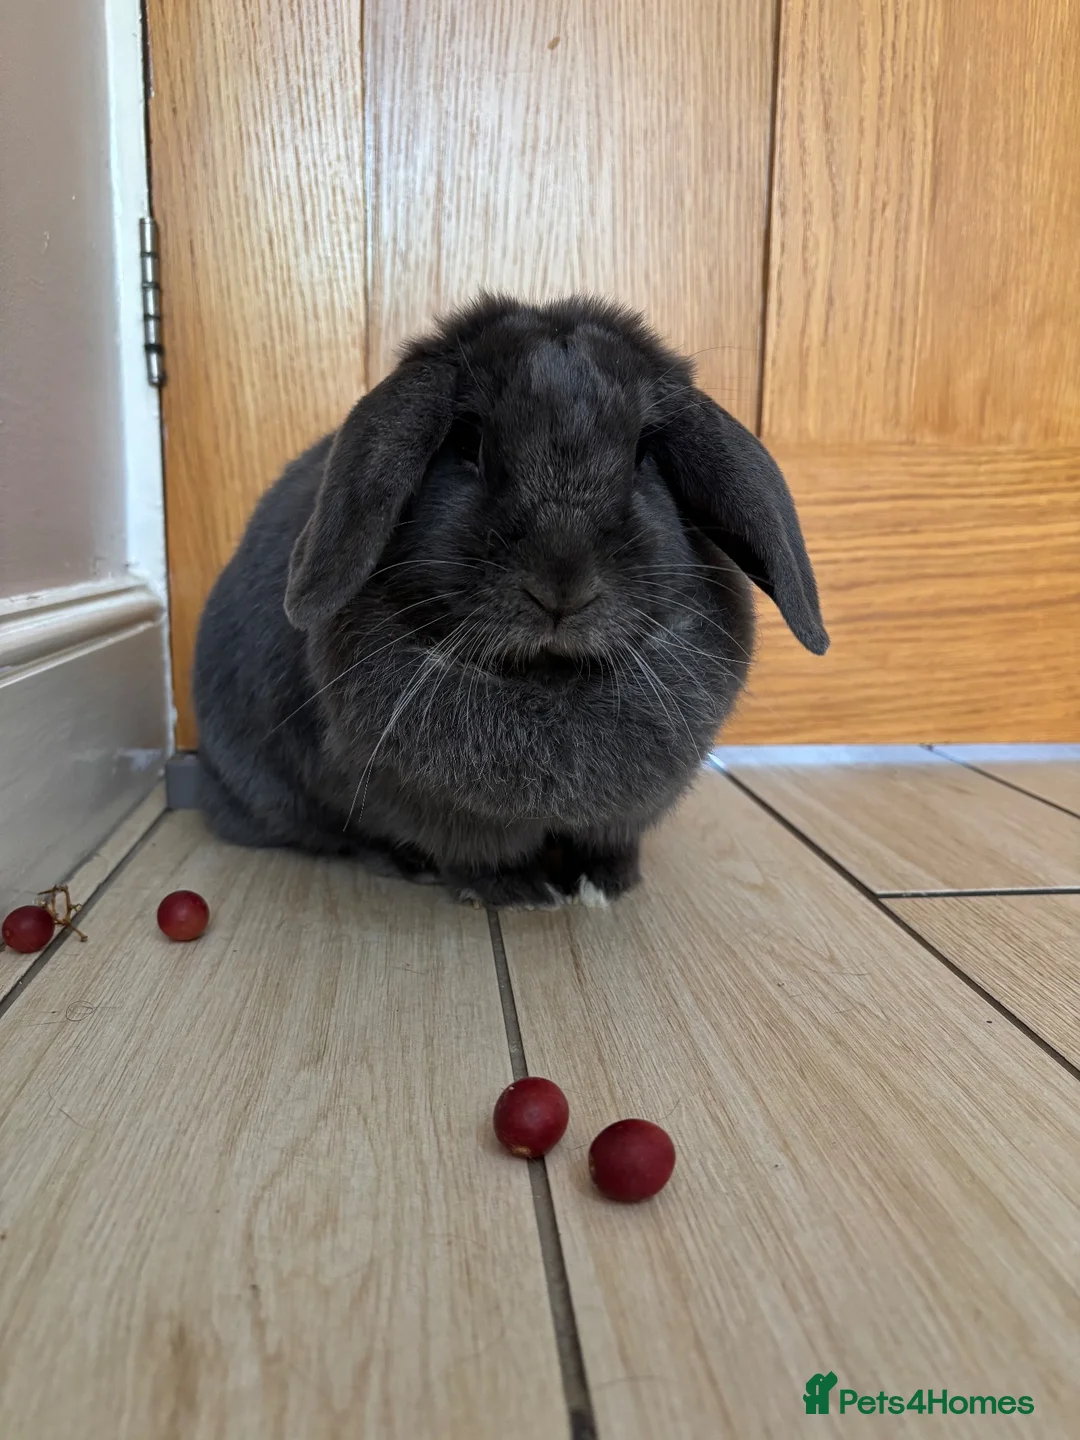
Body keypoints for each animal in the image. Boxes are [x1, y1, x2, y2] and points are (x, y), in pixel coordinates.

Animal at [193, 294, 828, 908]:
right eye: (468, 443)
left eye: (644, 454)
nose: (561, 584)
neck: (547, 681)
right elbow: (474, 854)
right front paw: (517, 891)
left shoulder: (624, 813)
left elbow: (609, 841)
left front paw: (605, 883)